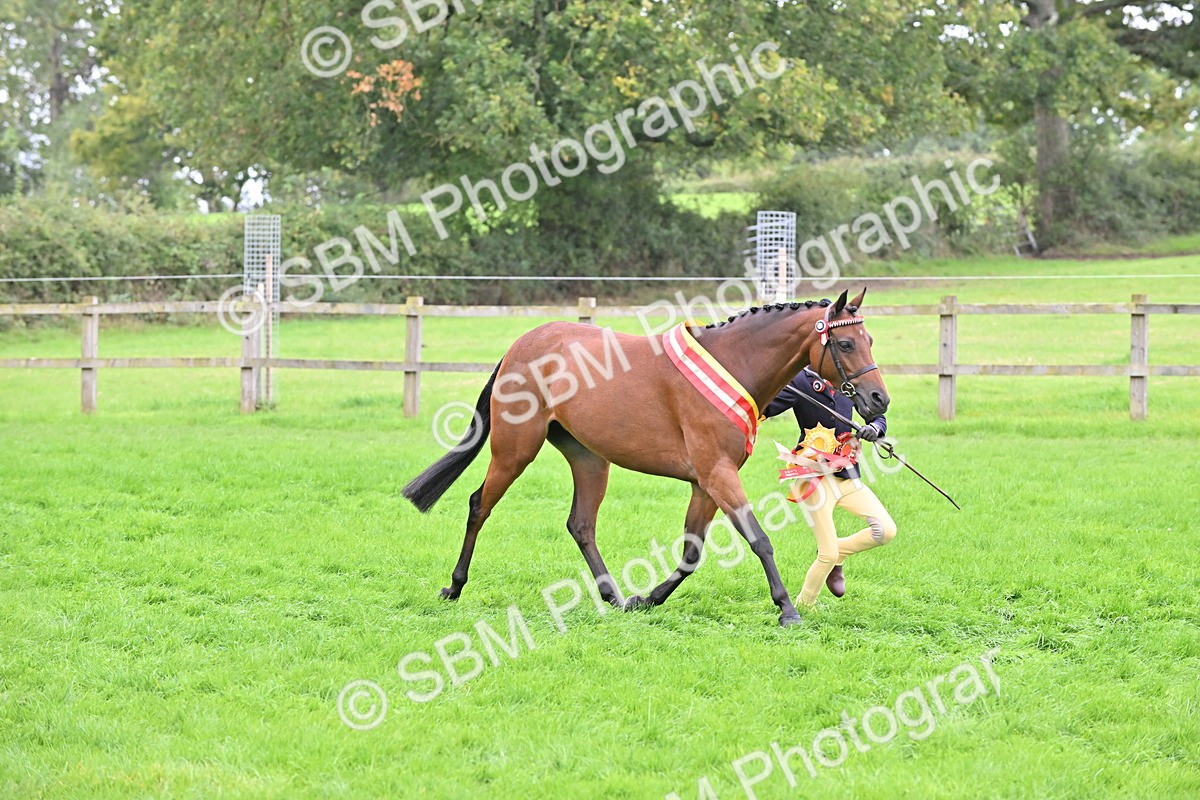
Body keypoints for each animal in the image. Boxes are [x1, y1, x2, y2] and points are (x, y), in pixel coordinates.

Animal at [402, 289, 889, 626]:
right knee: (479, 505)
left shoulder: (705, 483)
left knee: (581, 525)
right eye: (846, 344)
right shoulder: (718, 474)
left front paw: (646, 599)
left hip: (589, 460)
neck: (733, 363)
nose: (878, 400)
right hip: (515, 450)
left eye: (869, 338)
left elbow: (691, 552)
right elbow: (758, 539)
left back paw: (615, 597)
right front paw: (787, 609)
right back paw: (454, 586)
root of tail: (521, 345)